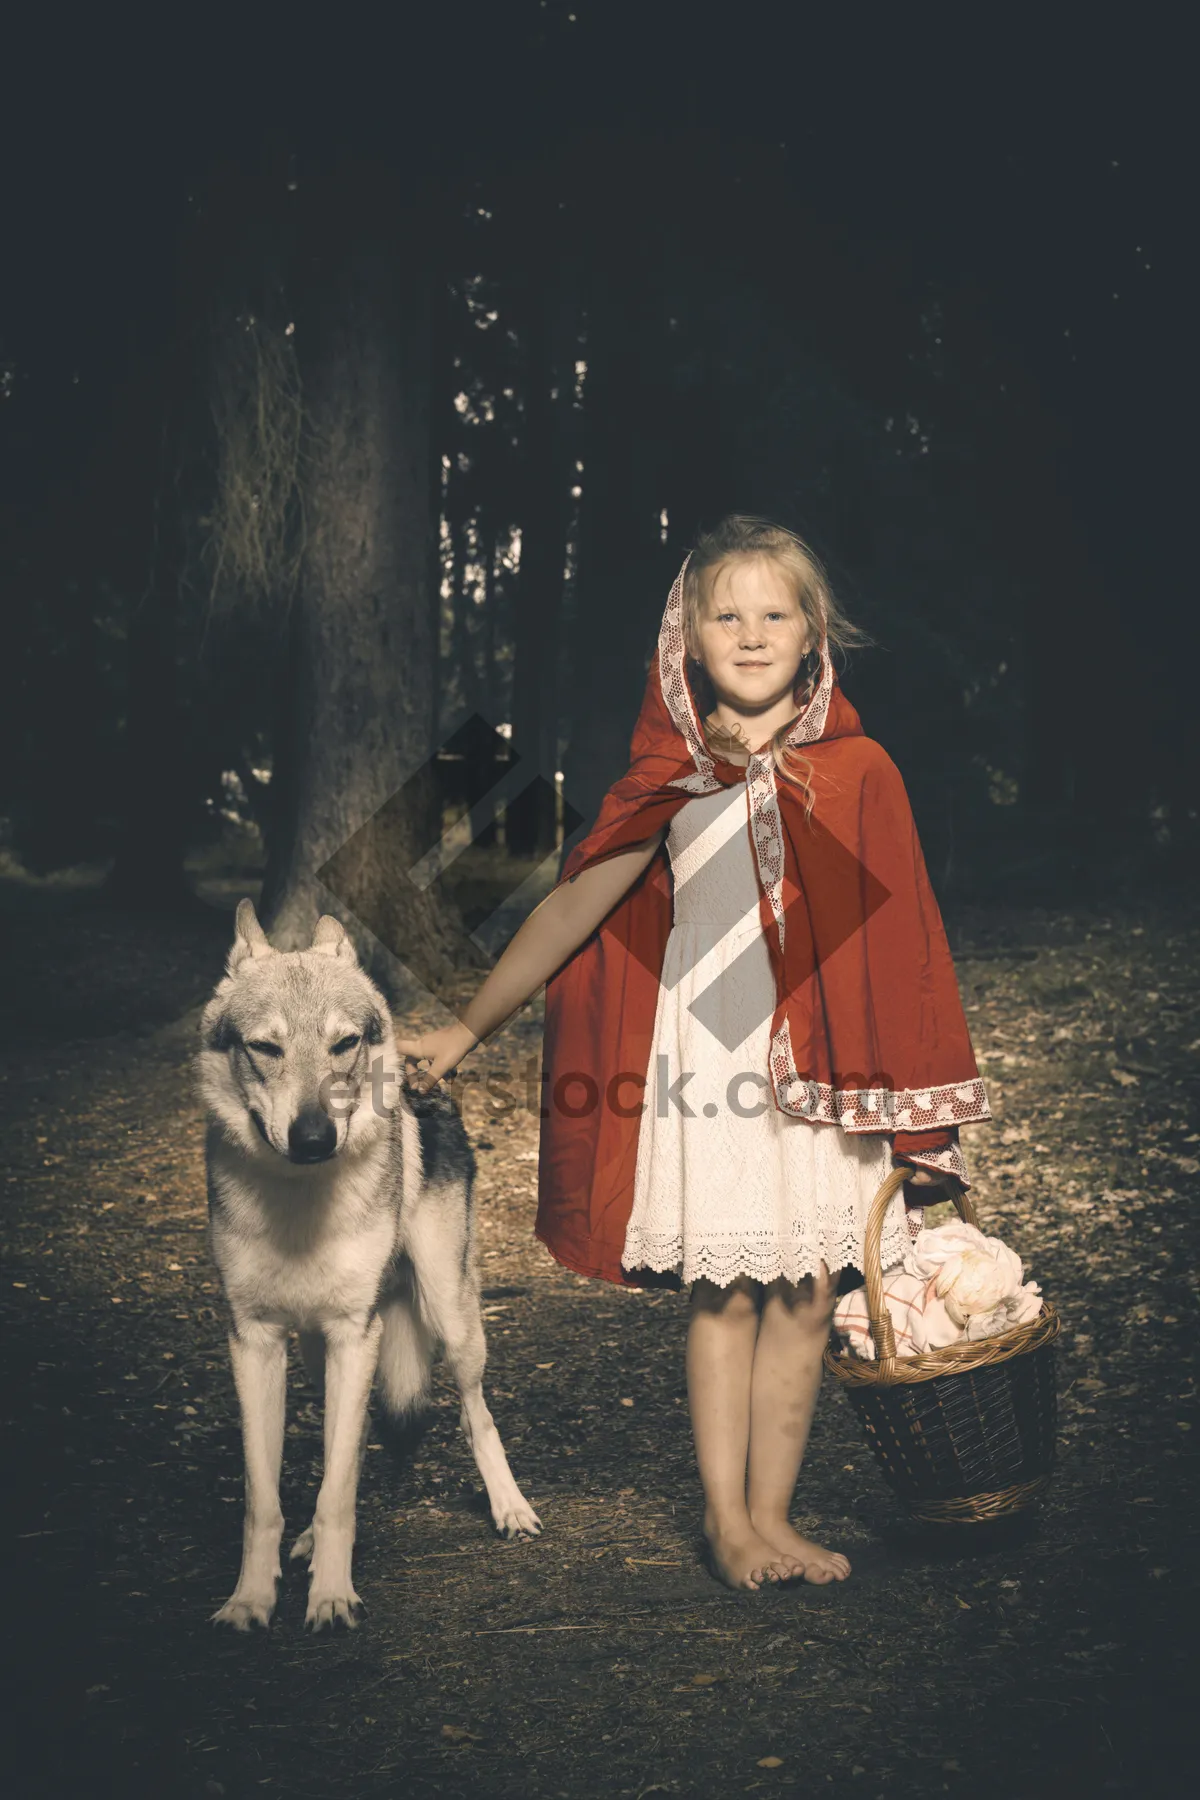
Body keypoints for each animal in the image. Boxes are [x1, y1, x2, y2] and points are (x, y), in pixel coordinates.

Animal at [197, 900, 539, 1634]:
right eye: (265, 1048)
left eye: (344, 1043)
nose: (313, 1137)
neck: (300, 1206)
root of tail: (425, 1078)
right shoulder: (255, 1341)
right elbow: (267, 1496)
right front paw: (251, 1598)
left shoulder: (356, 1334)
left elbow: (337, 1492)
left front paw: (331, 1596)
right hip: (323, 1349)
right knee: (346, 1451)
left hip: (451, 1318)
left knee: (474, 1415)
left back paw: (510, 1508)